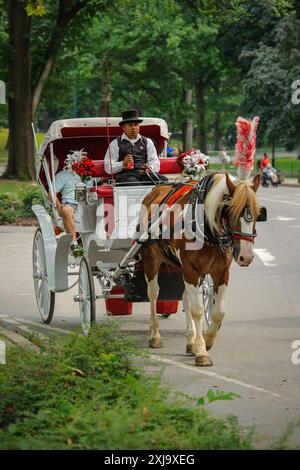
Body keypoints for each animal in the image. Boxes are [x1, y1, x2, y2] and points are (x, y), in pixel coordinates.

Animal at [139, 173, 260, 368]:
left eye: (257, 214)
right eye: (232, 212)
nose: (246, 256)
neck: (207, 228)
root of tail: (155, 189)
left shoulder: (221, 273)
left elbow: (218, 312)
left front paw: (206, 339)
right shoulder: (191, 270)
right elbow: (197, 310)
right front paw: (202, 351)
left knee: (186, 297)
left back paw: (190, 340)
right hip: (151, 260)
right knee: (153, 294)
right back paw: (155, 335)